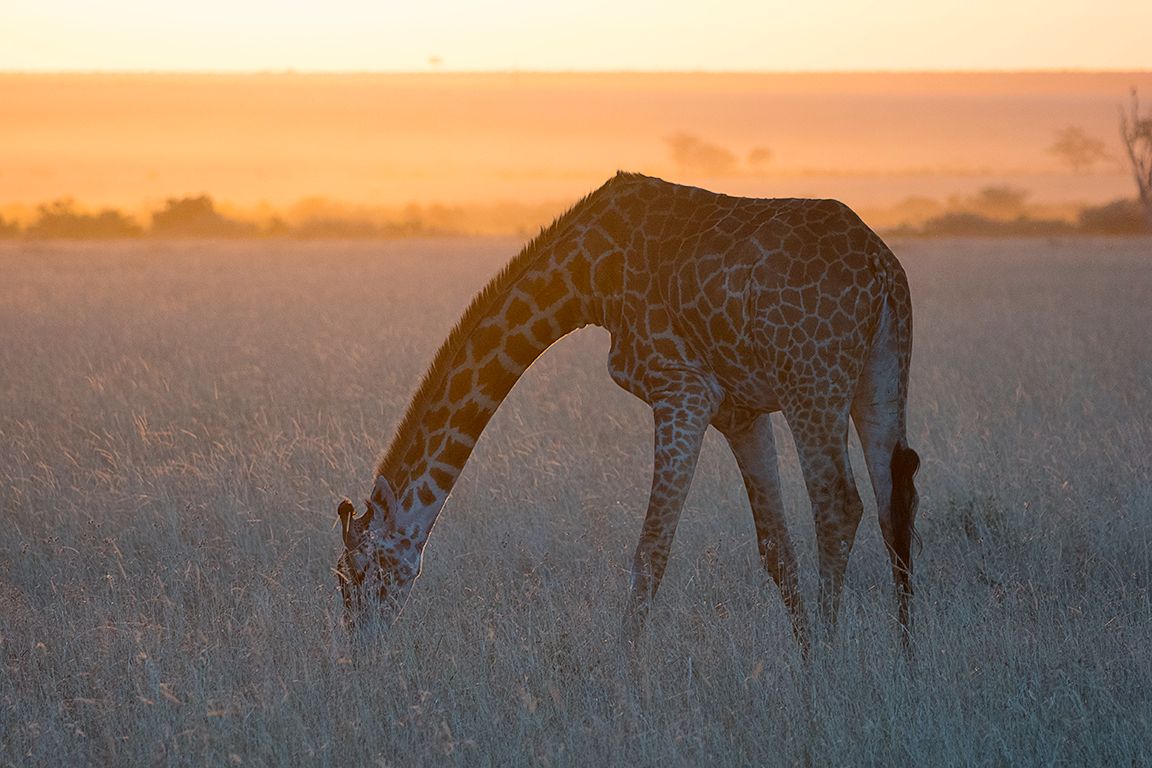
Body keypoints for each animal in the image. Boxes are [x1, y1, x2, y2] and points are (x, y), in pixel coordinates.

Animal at [335, 172, 921, 649]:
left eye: (358, 573)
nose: (361, 652)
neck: (588, 278)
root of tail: (881, 268)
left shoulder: (682, 388)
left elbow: (650, 551)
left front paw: (623, 669)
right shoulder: (741, 410)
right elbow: (775, 548)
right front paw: (803, 661)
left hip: (812, 384)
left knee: (839, 504)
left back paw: (837, 656)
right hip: (880, 378)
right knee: (896, 501)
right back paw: (906, 661)